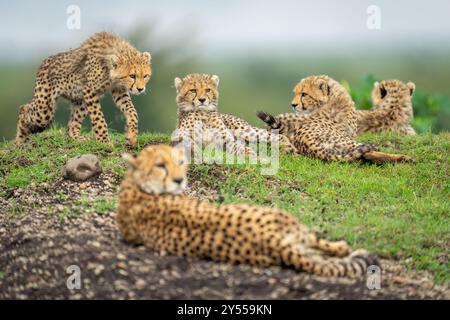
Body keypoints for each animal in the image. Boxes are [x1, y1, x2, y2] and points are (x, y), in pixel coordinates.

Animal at [14, 31, 152, 148]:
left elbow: (132, 111)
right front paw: (104, 142)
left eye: (145, 76)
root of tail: (44, 62)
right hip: (44, 109)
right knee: (24, 108)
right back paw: (20, 140)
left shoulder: (119, 90)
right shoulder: (90, 90)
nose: (140, 89)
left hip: (79, 101)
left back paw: (76, 138)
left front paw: (131, 135)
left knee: (72, 125)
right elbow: (98, 118)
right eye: (132, 76)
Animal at [117, 145, 380, 278]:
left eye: (180, 162)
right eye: (161, 165)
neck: (137, 184)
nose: (179, 180)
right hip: (282, 218)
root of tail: (274, 243)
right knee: (323, 245)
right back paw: (344, 246)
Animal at [258, 76, 414, 164]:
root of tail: (307, 141)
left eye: (304, 94)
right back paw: (404, 158)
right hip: (348, 142)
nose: (293, 104)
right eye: (296, 93)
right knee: (368, 152)